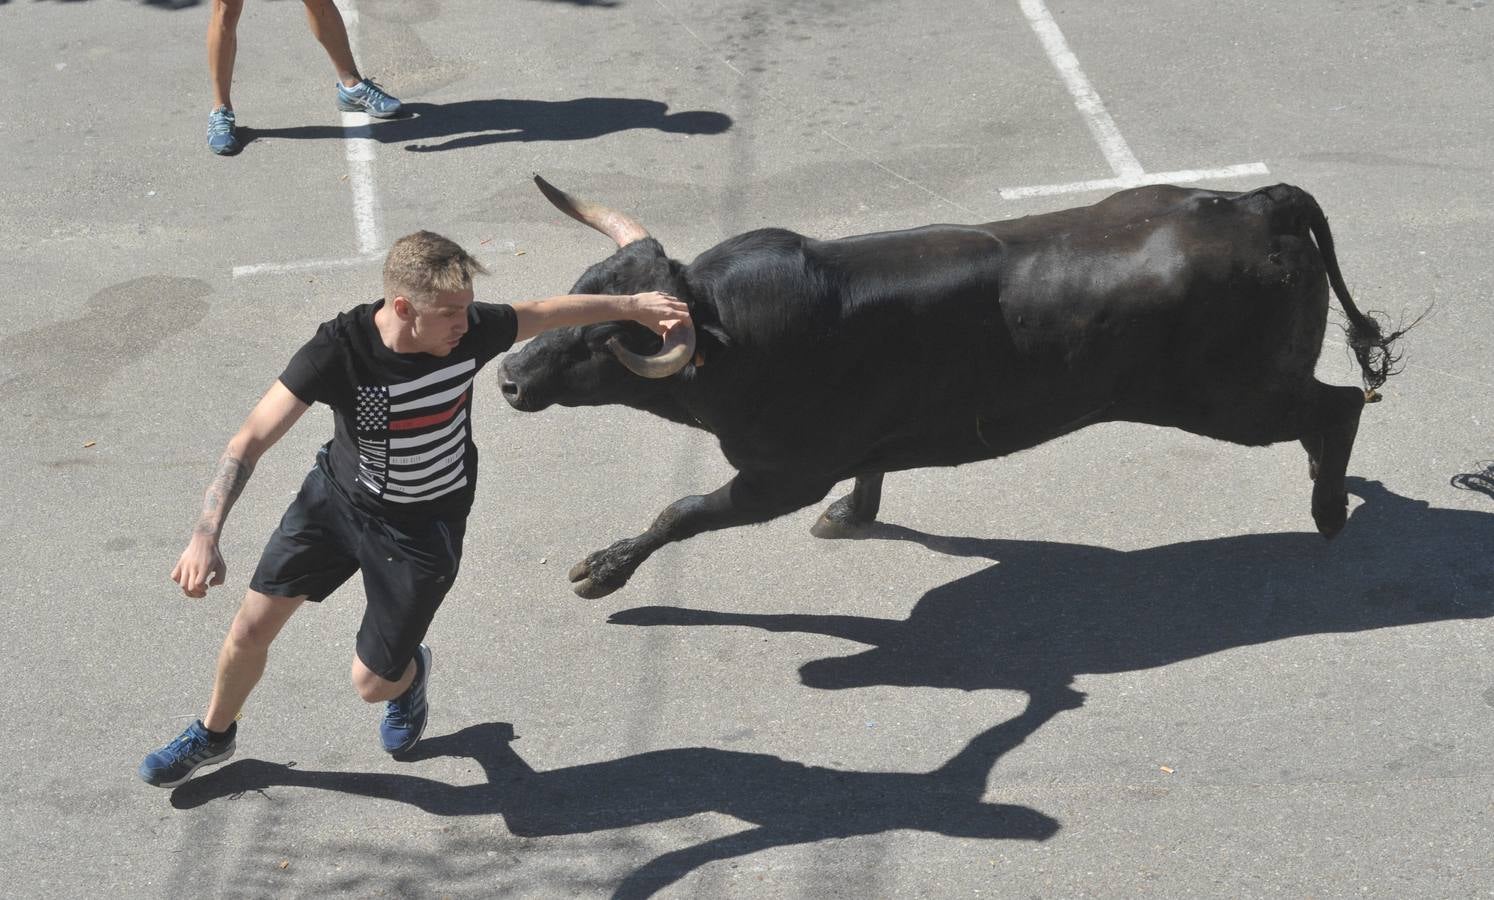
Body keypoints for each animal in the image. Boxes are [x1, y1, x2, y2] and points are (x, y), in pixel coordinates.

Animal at [498, 177, 1398, 595]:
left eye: (611, 340)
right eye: (581, 291)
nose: (507, 375)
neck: (731, 330)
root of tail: (1257, 201)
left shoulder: (779, 475)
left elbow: (682, 511)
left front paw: (604, 570)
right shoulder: (853, 441)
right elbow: (867, 473)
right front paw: (855, 515)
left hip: (1229, 398)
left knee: (1337, 406)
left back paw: (1327, 510)